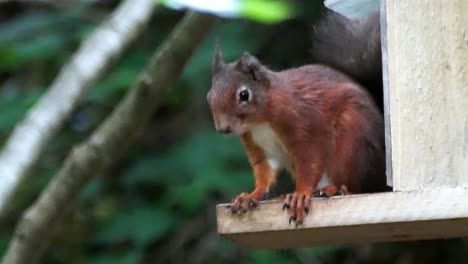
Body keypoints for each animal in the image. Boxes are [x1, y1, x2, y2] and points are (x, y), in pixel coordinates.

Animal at [208, 8, 388, 225]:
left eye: (244, 95)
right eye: (209, 96)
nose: (223, 128)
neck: (260, 121)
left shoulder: (304, 124)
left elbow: (309, 162)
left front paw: (301, 194)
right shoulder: (257, 144)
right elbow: (264, 172)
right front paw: (250, 196)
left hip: (352, 138)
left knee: (355, 186)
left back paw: (334, 189)